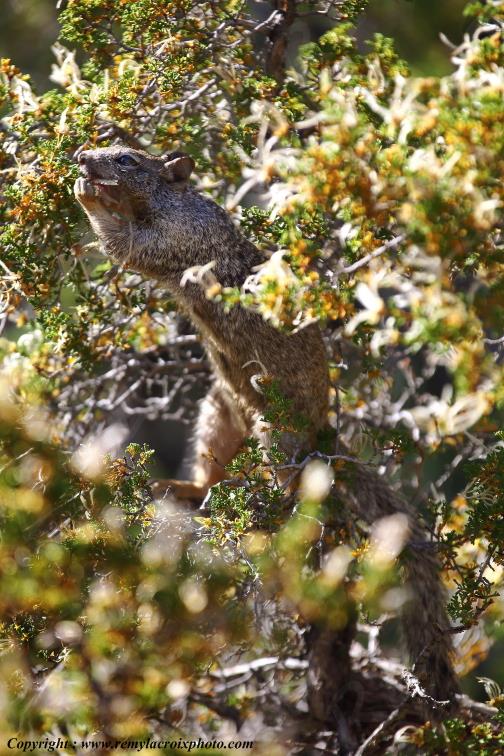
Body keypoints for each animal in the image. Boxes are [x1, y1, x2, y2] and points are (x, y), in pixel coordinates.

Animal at [74, 145, 460, 715]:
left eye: (126, 159)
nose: (82, 157)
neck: (168, 202)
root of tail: (322, 429)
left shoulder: (178, 239)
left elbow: (129, 247)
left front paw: (90, 196)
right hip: (219, 411)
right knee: (212, 472)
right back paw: (183, 487)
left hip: (276, 433)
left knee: (295, 484)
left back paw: (280, 518)